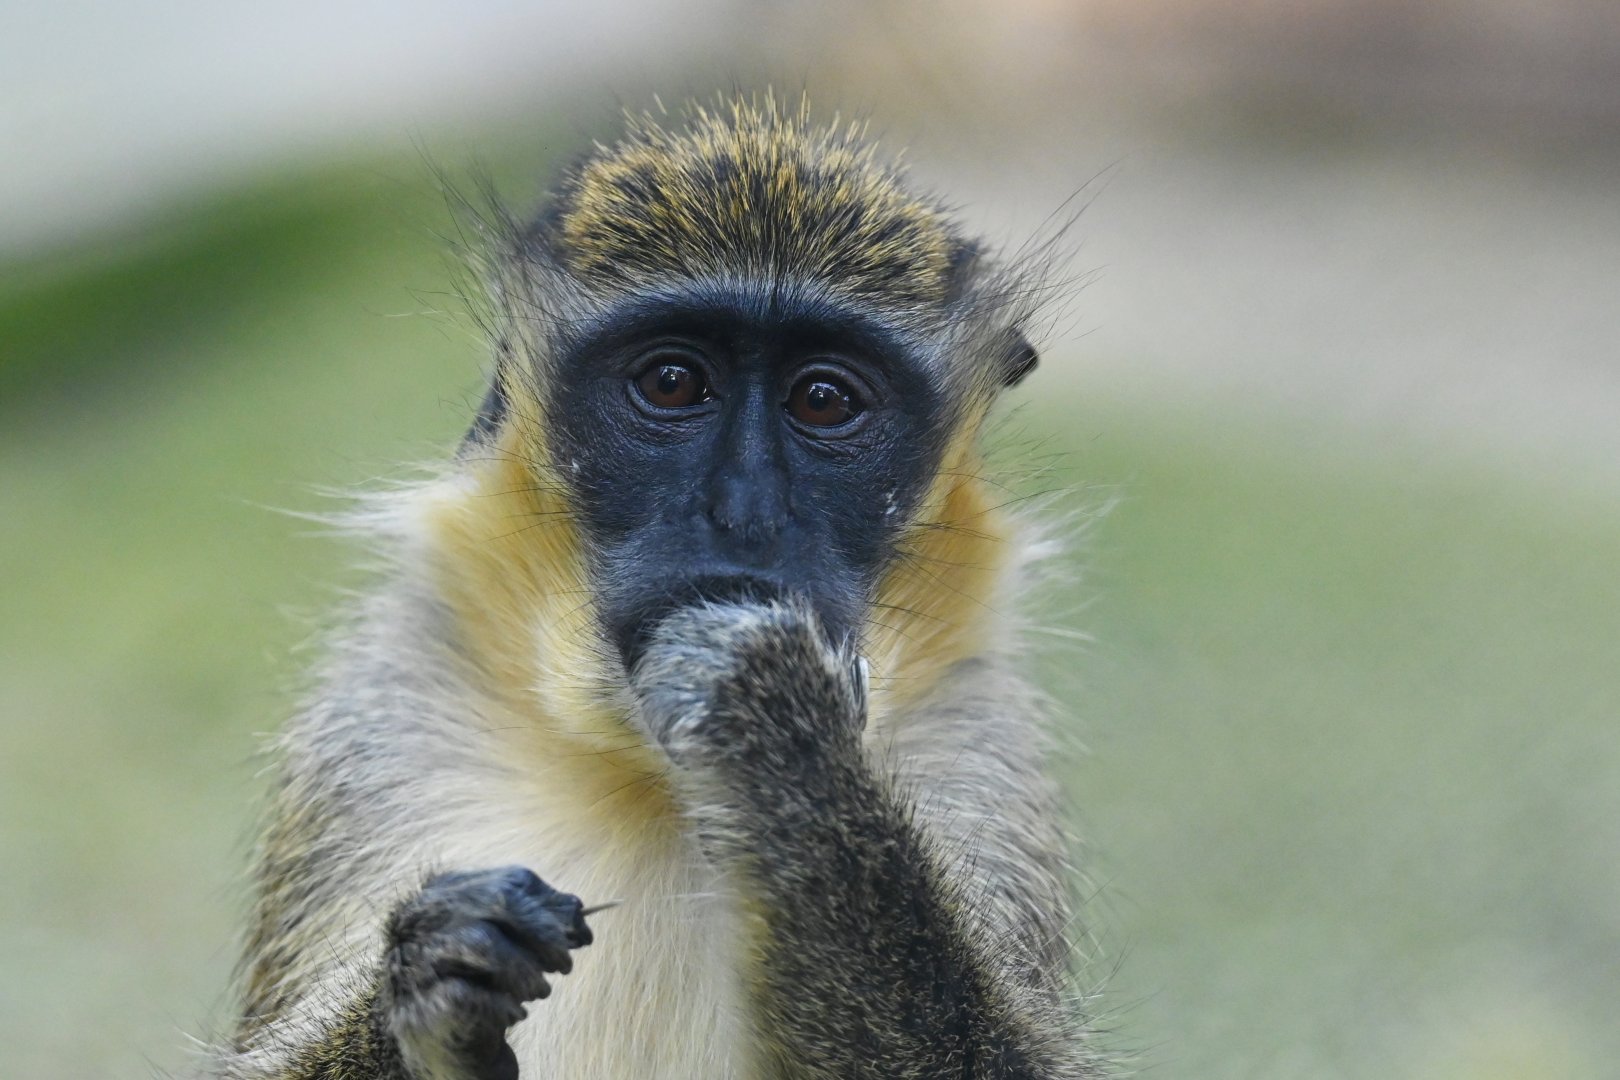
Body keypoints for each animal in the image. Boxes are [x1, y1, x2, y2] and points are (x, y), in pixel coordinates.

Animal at [207, 97, 1101, 1079]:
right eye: (673, 383)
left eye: (823, 401)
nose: (744, 514)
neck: (652, 776)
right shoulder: (380, 721)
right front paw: (434, 968)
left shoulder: (981, 749)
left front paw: (780, 732)